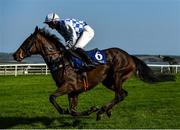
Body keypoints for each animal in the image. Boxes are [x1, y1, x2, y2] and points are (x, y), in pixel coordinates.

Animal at [13, 26, 174, 121]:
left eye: (27, 42)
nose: (15, 55)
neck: (59, 61)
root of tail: (130, 56)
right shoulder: (74, 91)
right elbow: (73, 111)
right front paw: (89, 110)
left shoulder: (69, 86)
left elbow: (52, 97)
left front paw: (69, 110)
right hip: (108, 81)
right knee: (123, 94)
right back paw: (107, 111)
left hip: (118, 75)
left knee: (119, 95)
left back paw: (102, 111)